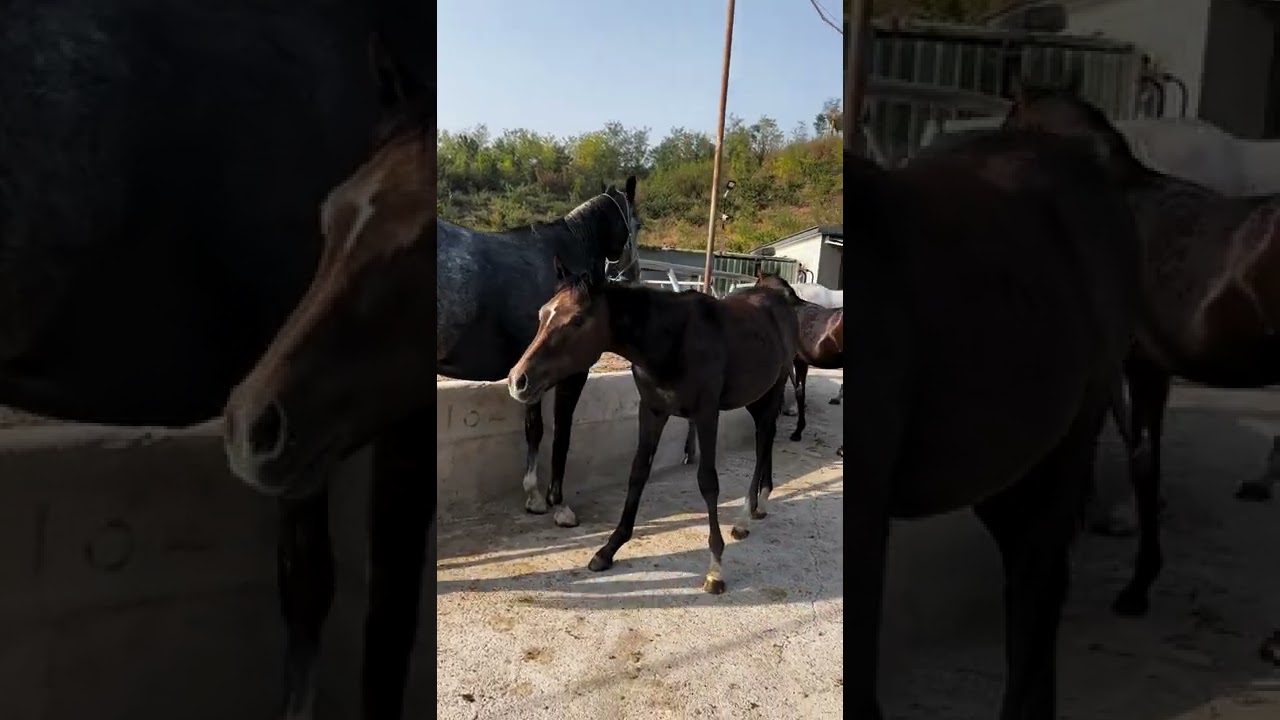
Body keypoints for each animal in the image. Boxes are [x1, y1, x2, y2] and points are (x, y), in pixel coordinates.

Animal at [506, 261, 798, 594]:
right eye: (542, 314)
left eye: (577, 320)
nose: (518, 380)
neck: (671, 341)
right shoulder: (652, 411)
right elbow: (637, 473)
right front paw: (608, 549)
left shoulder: (706, 415)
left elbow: (708, 482)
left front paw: (715, 568)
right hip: (755, 398)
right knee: (767, 439)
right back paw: (759, 504)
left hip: (773, 390)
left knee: (763, 443)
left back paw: (744, 518)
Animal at [754, 273, 843, 454]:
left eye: (757, 284)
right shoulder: (801, 362)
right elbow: (800, 391)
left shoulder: (796, 362)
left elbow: (797, 392)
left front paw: (795, 431)